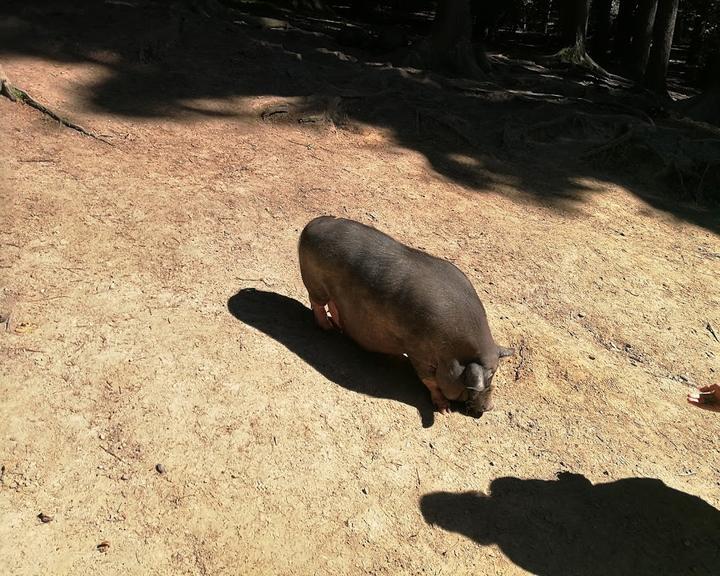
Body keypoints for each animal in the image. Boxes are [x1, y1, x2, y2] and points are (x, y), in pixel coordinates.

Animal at [296, 214, 512, 416]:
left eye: (494, 375)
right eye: (487, 378)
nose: (490, 408)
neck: (454, 352)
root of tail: (311, 224)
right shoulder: (419, 352)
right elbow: (430, 381)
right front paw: (445, 410)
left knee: (333, 305)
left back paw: (338, 327)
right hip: (315, 283)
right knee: (317, 303)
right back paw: (327, 329)